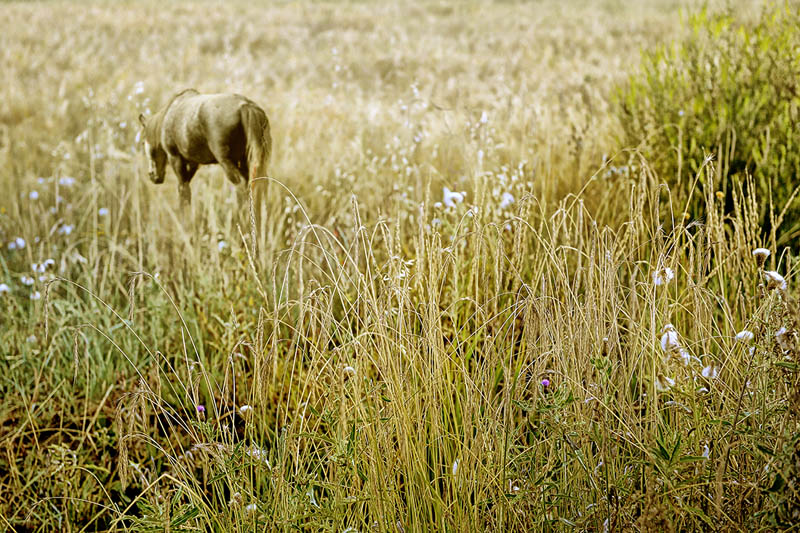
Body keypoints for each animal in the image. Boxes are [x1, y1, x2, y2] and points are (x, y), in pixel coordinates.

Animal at [138, 88, 272, 207]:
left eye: (143, 142)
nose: (152, 175)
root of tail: (245, 105)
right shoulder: (193, 163)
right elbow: (186, 192)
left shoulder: (175, 158)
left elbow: (183, 192)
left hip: (227, 162)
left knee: (241, 188)